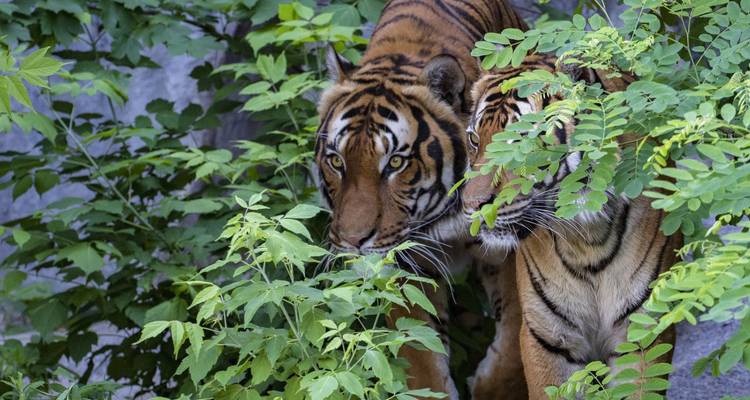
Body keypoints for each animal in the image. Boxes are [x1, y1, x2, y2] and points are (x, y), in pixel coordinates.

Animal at [314, 0, 528, 398]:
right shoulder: (403, 262)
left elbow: (512, 346)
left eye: (395, 163)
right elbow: (418, 350)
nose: (352, 242)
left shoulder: (509, 247)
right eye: (336, 161)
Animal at [462, 53, 682, 399]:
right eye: (474, 139)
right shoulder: (548, 338)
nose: (471, 207)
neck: (588, 240)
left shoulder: (641, 334)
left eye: (522, 144)